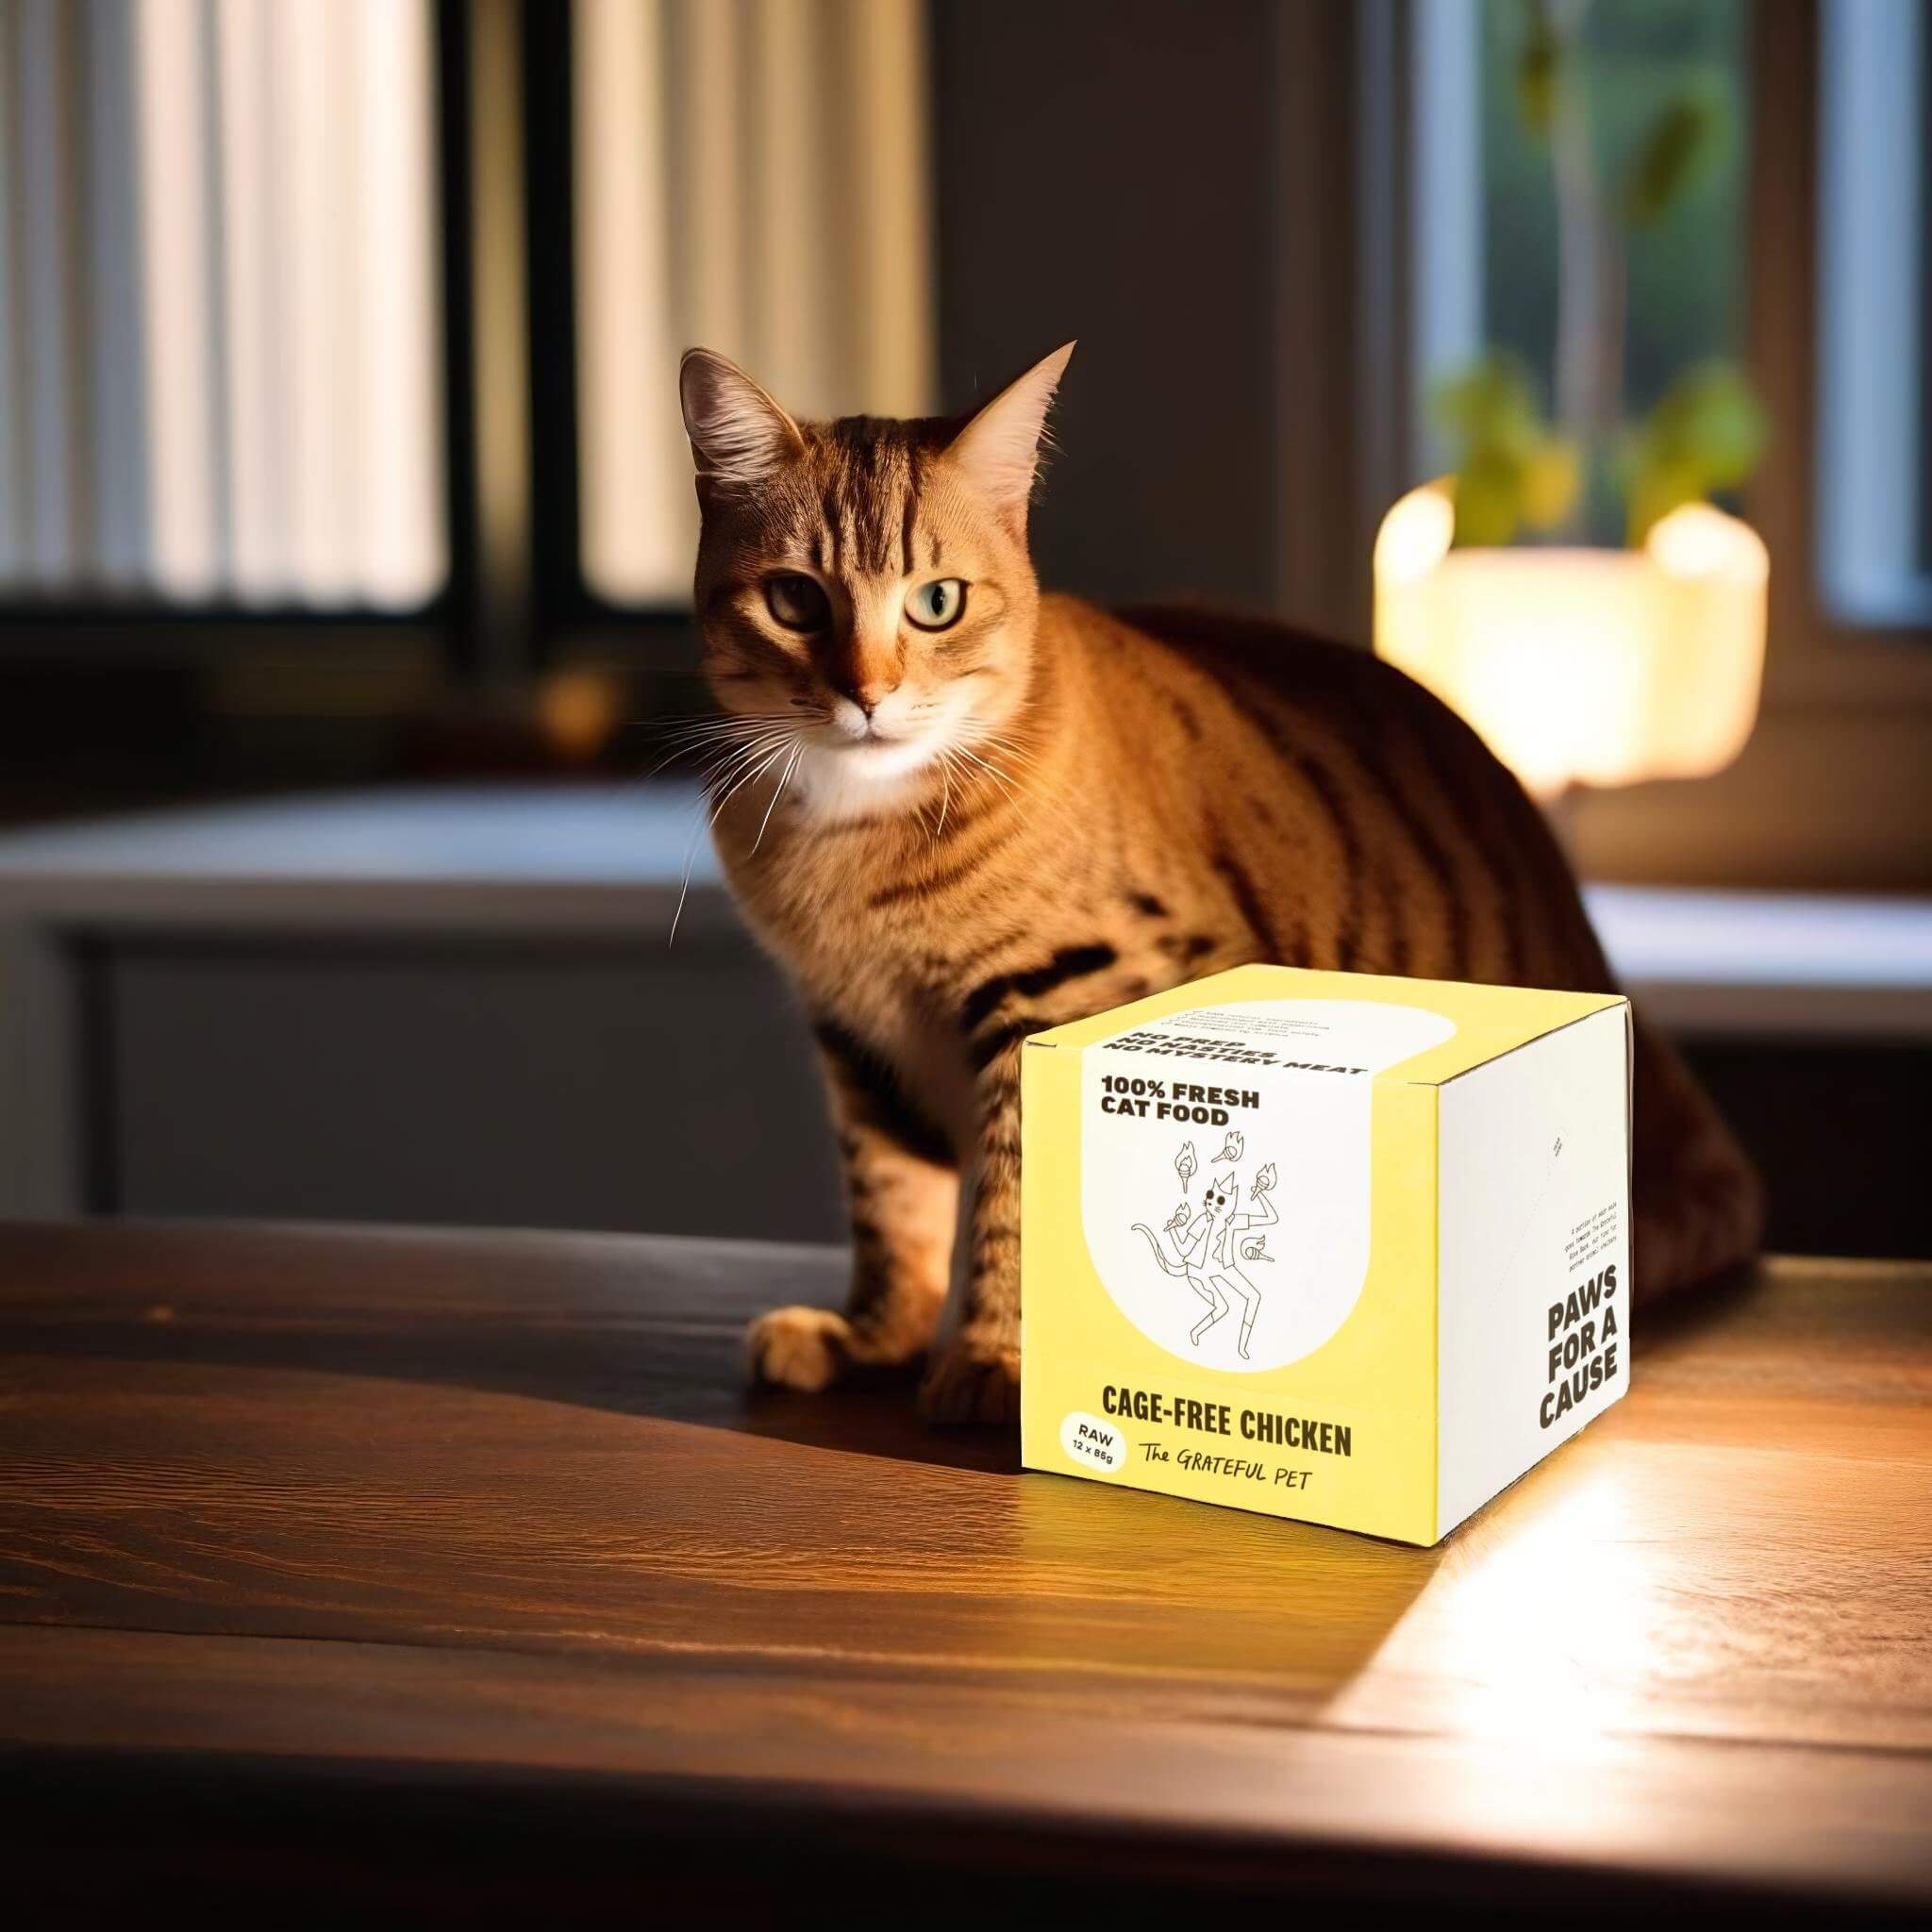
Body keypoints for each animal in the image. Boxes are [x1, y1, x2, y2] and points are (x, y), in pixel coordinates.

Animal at [679, 340, 1769, 1422]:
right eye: (794, 601)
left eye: (936, 601)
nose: (864, 694)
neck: (855, 839)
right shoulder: (857, 1035)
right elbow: (889, 1199)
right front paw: (872, 1336)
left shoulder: (1064, 995)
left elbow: (1017, 1197)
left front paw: (995, 1359)